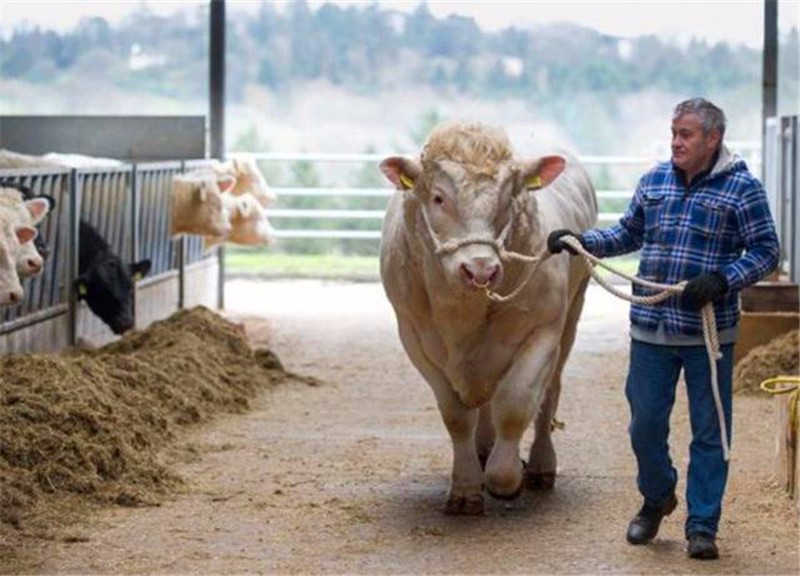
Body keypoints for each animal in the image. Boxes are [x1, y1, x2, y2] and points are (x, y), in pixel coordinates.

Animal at [378, 120, 596, 512]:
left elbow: (516, 404)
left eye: (508, 199)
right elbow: (456, 416)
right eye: (438, 197)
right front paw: (465, 487)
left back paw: (540, 465)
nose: (480, 270)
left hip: (573, 310)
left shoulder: (542, 330)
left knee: (549, 392)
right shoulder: (415, 337)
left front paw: (504, 478)